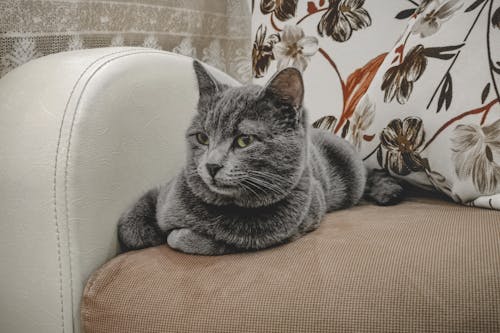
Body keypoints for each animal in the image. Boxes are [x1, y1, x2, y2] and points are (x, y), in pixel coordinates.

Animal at [117, 61, 402, 255]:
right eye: (202, 138)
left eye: (244, 140)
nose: (211, 165)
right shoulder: (167, 188)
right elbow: (131, 220)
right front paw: (144, 231)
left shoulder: (289, 226)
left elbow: (198, 239)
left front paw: (177, 234)